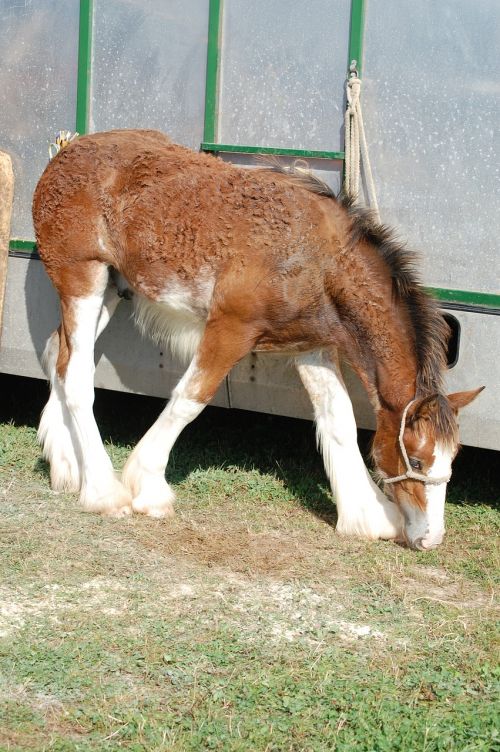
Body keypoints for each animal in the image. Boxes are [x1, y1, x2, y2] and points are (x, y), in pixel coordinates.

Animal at [33, 132, 482, 548]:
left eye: (452, 459)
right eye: (419, 462)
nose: (430, 538)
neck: (319, 260)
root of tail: (67, 150)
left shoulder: (313, 347)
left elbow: (338, 418)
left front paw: (367, 516)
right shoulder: (230, 328)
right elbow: (190, 400)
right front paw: (148, 489)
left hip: (111, 288)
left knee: (59, 354)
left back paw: (65, 466)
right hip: (82, 278)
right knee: (76, 374)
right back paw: (103, 493)